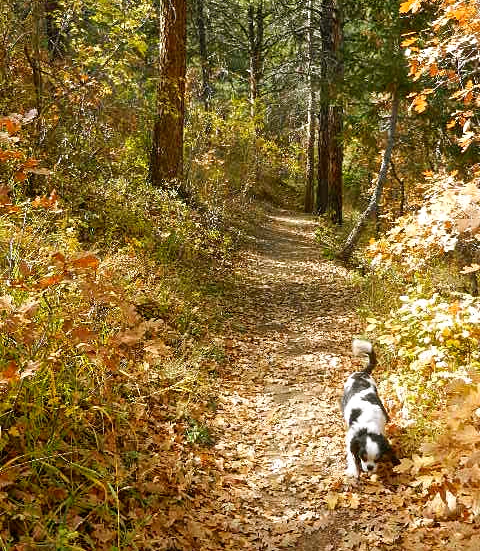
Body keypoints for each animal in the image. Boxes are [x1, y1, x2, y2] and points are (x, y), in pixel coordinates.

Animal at [342, 338, 402, 476]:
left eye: (377, 458)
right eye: (362, 457)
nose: (369, 467)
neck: (367, 428)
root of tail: (362, 373)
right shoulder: (350, 438)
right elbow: (351, 454)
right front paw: (354, 470)